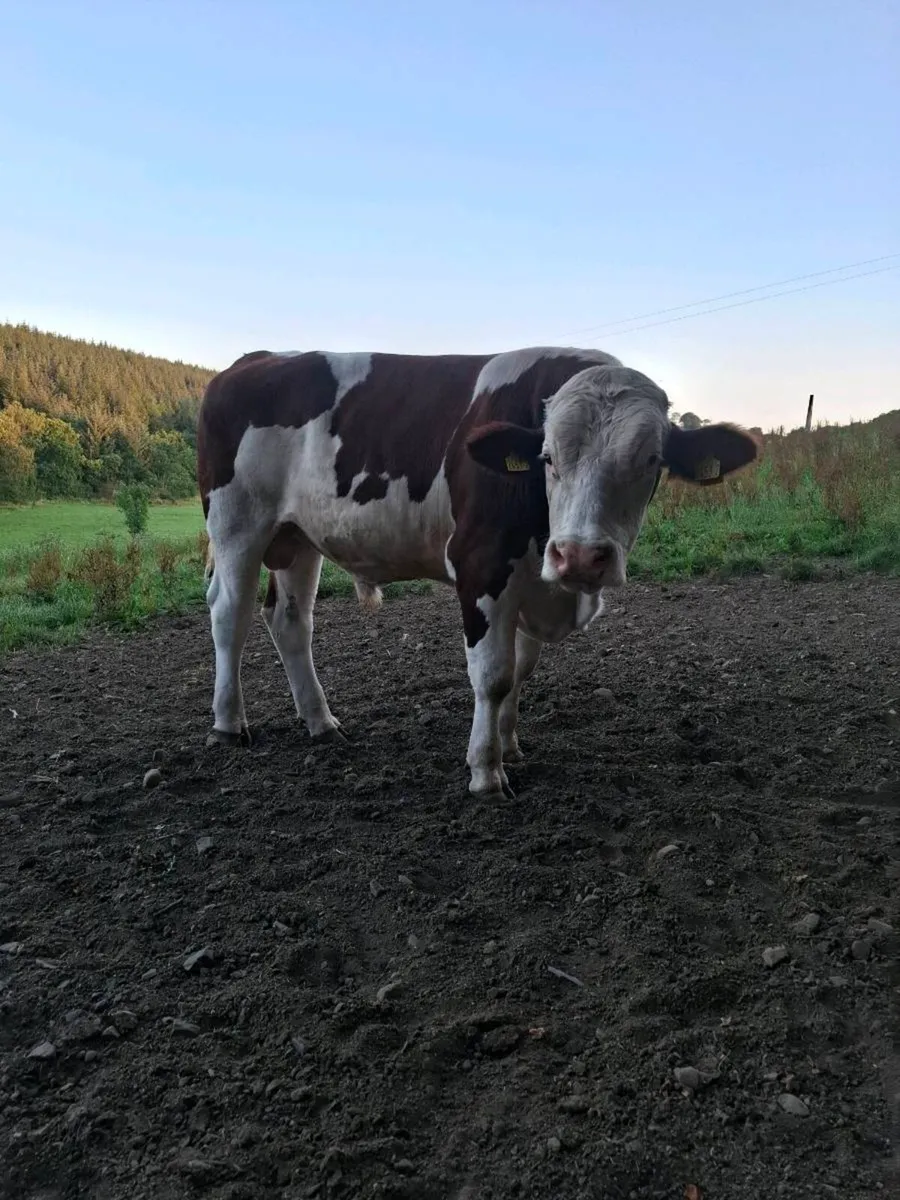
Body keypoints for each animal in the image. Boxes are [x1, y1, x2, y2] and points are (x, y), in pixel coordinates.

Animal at [197, 346, 758, 797]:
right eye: (547, 457)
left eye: (652, 460)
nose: (579, 555)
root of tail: (256, 359)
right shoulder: (481, 567)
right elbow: (493, 676)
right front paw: (486, 772)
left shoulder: (533, 581)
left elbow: (520, 671)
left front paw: (509, 747)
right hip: (237, 523)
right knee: (230, 614)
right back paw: (227, 723)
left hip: (296, 538)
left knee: (290, 622)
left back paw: (321, 721)